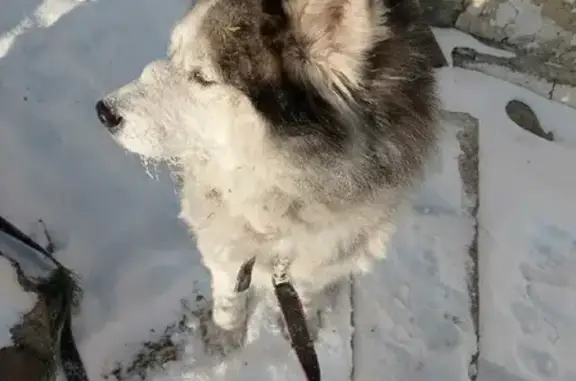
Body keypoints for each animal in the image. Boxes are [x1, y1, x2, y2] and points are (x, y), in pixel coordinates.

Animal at [94, 0, 438, 354]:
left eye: (202, 78)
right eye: (173, 53)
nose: (105, 111)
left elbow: (305, 292)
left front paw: (297, 327)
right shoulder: (224, 245)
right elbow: (228, 295)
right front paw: (226, 334)